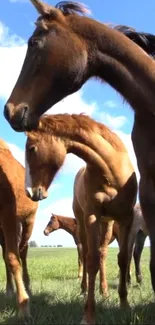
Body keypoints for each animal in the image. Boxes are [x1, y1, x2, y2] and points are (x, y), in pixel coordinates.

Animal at [25, 112, 138, 322]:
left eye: (32, 148)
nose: (31, 192)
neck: (110, 172)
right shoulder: (91, 216)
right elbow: (90, 261)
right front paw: (89, 314)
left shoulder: (126, 218)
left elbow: (123, 258)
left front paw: (124, 304)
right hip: (85, 222)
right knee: (88, 255)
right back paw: (84, 289)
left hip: (107, 224)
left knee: (102, 254)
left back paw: (104, 290)